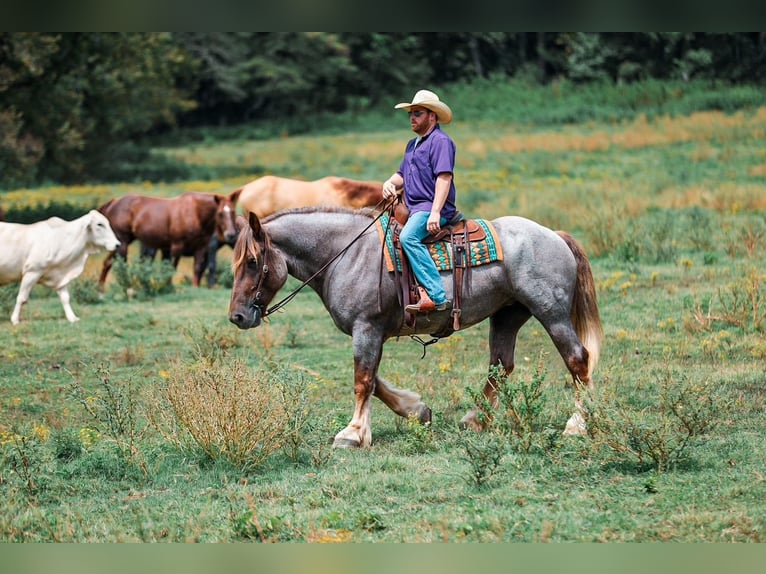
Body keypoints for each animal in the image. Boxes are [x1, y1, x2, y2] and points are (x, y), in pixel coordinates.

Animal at [98, 189, 240, 288]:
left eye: (233, 212)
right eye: (220, 213)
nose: (230, 234)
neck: (195, 213)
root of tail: (113, 202)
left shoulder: (202, 247)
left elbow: (197, 268)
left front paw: (195, 288)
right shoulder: (177, 246)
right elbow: (171, 268)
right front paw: (169, 287)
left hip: (117, 244)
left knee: (107, 263)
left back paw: (100, 291)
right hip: (124, 242)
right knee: (122, 264)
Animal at [228, 206, 603, 449]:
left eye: (252, 262)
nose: (237, 317)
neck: (347, 253)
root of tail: (555, 235)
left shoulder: (366, 328)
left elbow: (363, 380)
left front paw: (353, 434)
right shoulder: (371, 331)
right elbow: (375, 380)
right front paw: (416, 410)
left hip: (551, 313)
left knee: (577, 359)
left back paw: (578, 424)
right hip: (507, 316)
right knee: (500, 367)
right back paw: (476, 420)